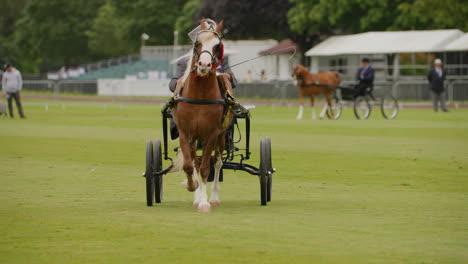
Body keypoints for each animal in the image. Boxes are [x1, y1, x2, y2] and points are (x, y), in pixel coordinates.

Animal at [171, 18, 233, 212]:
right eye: (197, 43)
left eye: (217, 46)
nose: (204, 66)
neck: (200, 96)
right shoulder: (186, 134)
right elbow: (190, 166)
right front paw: (193, 188)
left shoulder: (212, 134)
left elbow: (206, 168)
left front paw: (205, 203)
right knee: (195, 163)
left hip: (220, 137)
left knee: (218, 163)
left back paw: (213, 198)